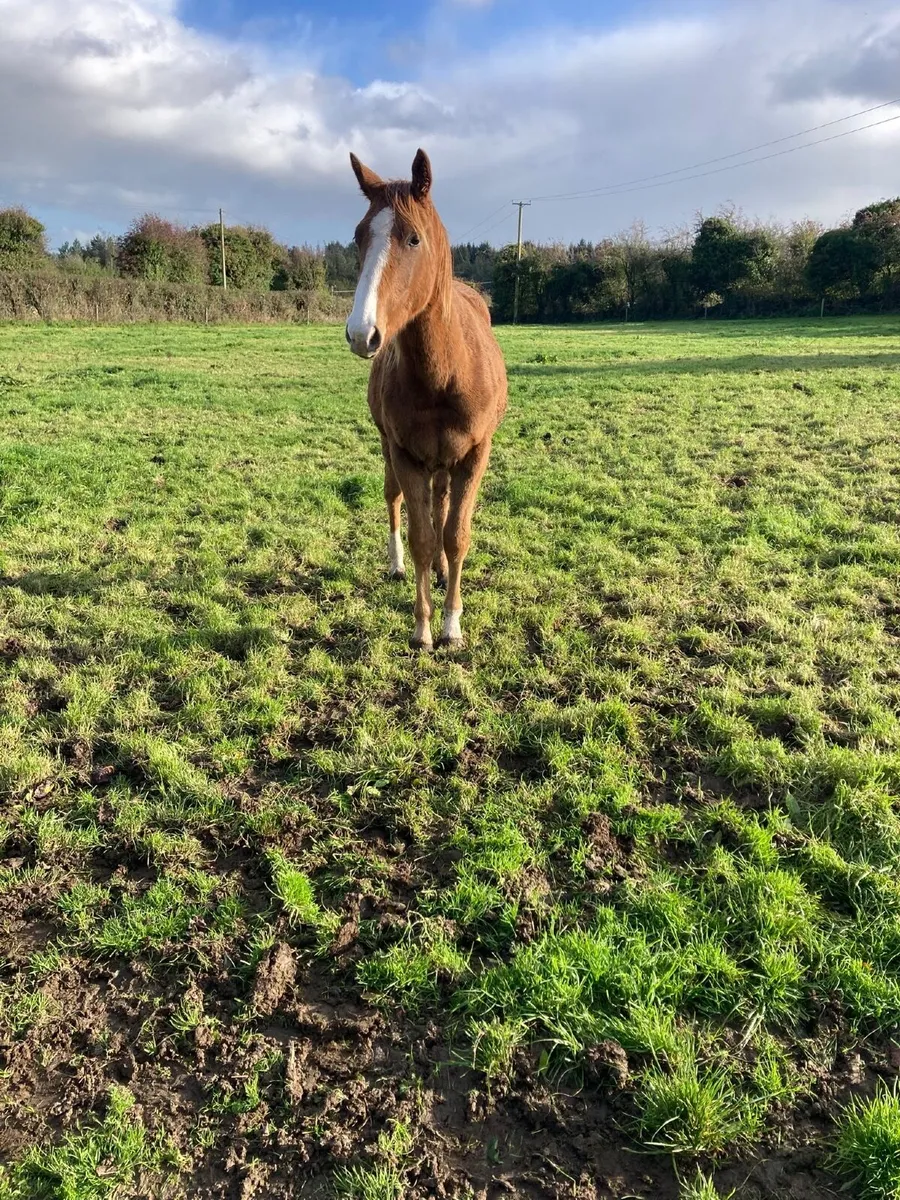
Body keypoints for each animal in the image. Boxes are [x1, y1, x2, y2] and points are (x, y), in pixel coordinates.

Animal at [345, 148, 507, 650]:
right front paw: (422, 628)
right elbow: (420, 535)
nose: (362, 334)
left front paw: (453, 623)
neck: (444, 373)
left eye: (413, 238)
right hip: (392, 450)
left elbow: (455, 535)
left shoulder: (474, 454)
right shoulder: (405, 453)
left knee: (441, 505)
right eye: (358, 237)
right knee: (395, 500)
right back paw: (399, 565)